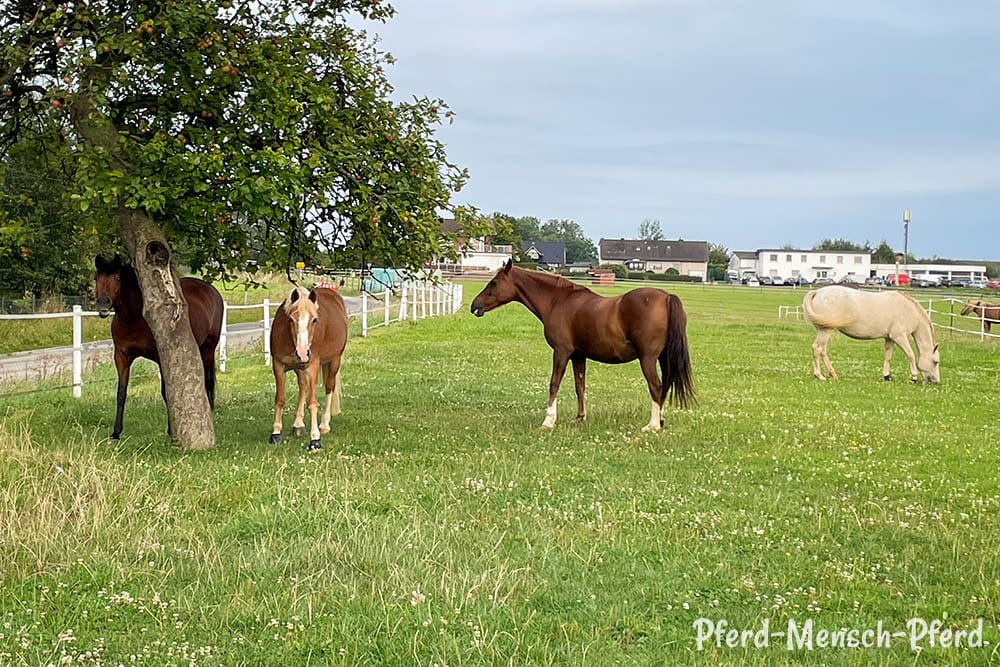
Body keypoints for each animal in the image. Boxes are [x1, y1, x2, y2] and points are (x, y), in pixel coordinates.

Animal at [92, 254, 225, 438]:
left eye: (117, 278)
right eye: (96, 278)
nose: (103, 303)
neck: (134, 319)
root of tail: (211, 290)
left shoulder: (161, 357)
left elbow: (166, 393)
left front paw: (171, 431)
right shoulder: (121, 357)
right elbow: (121, 393)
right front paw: (116, 432)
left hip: (208, 348)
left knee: (208, 381)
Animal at [270, 284, 348, 452]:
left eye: (314, 320)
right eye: (291, 319)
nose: (302, 352)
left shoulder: (312, 367)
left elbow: (312, 403)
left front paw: (315, 439)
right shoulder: (278, 366)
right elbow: (280, 399)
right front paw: (276, 433)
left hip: (334, 361)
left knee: (329, 388)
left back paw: (324, 424)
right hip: (300, 368)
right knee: (303, 387)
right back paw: (298, 424)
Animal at [470, 260, 696, 434]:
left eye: (494, 282)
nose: (474, 306)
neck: (559, 301)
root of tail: (666, 297)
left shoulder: (561, 352)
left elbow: (554, 384)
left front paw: (548, 422)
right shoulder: (578, 355)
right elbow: (580, 386)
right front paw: (579, 418)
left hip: (647, 358)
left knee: (656, 386)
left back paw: (652, 426)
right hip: (663, 358)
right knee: (665, 385)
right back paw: (661, 420)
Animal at [800, 284, 940, 384]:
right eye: (936, 362)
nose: (936, 382)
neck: (908, 310)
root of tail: (817, 292)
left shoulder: (889, 338)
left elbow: (888, 357)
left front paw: (887, 376)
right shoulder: (899, 337)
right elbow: (910, 355)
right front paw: (914, 377)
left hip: (824, 331)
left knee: (822, 351)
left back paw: (833, 374)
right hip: (826, 331)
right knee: (817, 348)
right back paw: (819, 376)